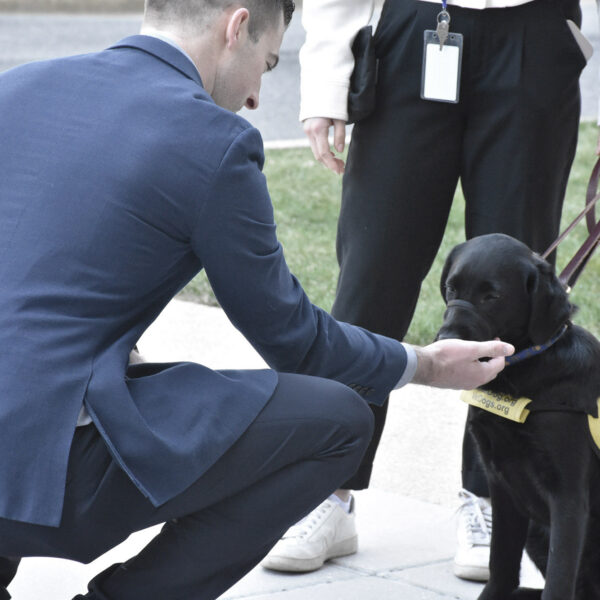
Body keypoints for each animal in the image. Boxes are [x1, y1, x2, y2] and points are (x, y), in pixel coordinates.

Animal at [436, 233, 600, 600]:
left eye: (492, 296)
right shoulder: (502, 484)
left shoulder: (569, 497)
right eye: (452, 288)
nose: (446, 341)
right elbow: (501, 565)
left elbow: (558, 580)